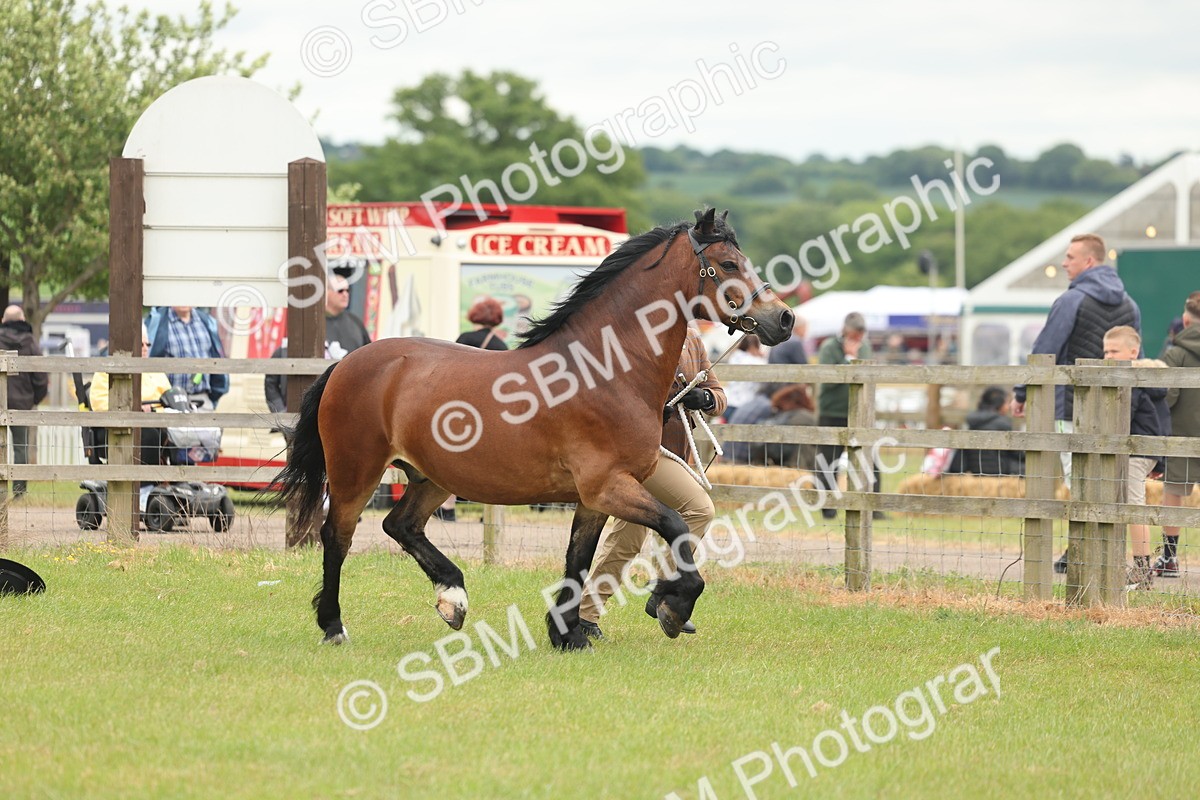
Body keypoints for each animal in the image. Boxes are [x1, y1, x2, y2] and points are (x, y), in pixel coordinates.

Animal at [274, 209, 794, 650]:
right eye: (728, 264)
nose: (784, 318)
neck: (604, 371)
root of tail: (347, 363)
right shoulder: (609, 487)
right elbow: (675, 527)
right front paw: (671, 605)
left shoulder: (593, 499)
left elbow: (578, 560)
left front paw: (569, 635)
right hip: (355, 473)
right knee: (337, 536)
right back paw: (334, 627)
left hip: (433, 477)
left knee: (399, 525)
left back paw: (453, 599)